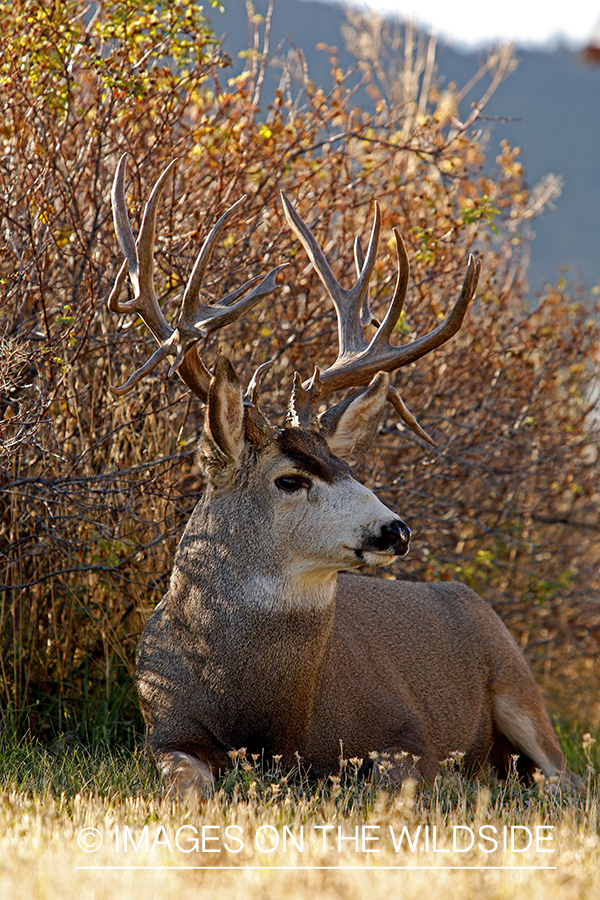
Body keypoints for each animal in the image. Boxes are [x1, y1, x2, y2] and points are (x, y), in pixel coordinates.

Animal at [108, 156, 575, 796]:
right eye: (289, 479)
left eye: (348, 467)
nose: (396, 530)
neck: (271, 719)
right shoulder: (162, 728)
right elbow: (187, 783)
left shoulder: (407, 727)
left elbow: (401, 780)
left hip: (518, 680)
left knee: (563, 779)